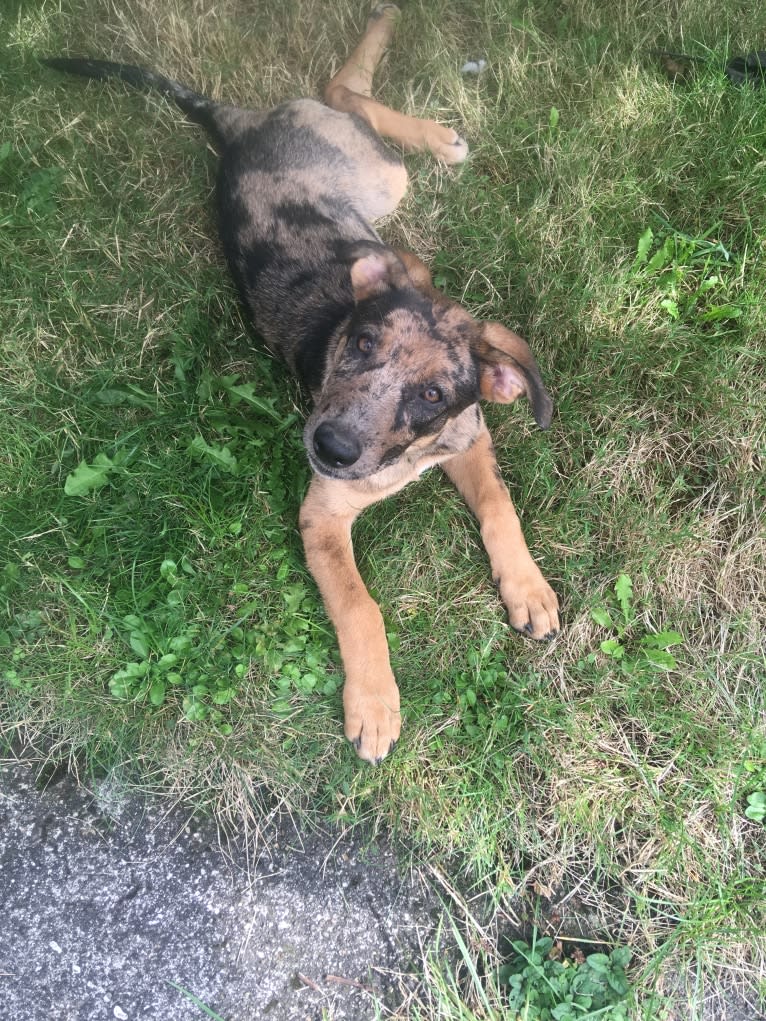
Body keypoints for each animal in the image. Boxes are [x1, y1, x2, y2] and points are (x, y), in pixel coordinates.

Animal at [44, 1, 559, 767]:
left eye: (433, 395)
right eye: (362, 344)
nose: (331, 447)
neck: (406, 457)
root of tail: (238, 125)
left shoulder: (468, 435)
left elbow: (499, 505)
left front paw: (528, 588)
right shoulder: (321, 516)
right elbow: (359, 604)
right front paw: (373, 705)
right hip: (380, 174)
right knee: (341, 91)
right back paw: (428, 119)